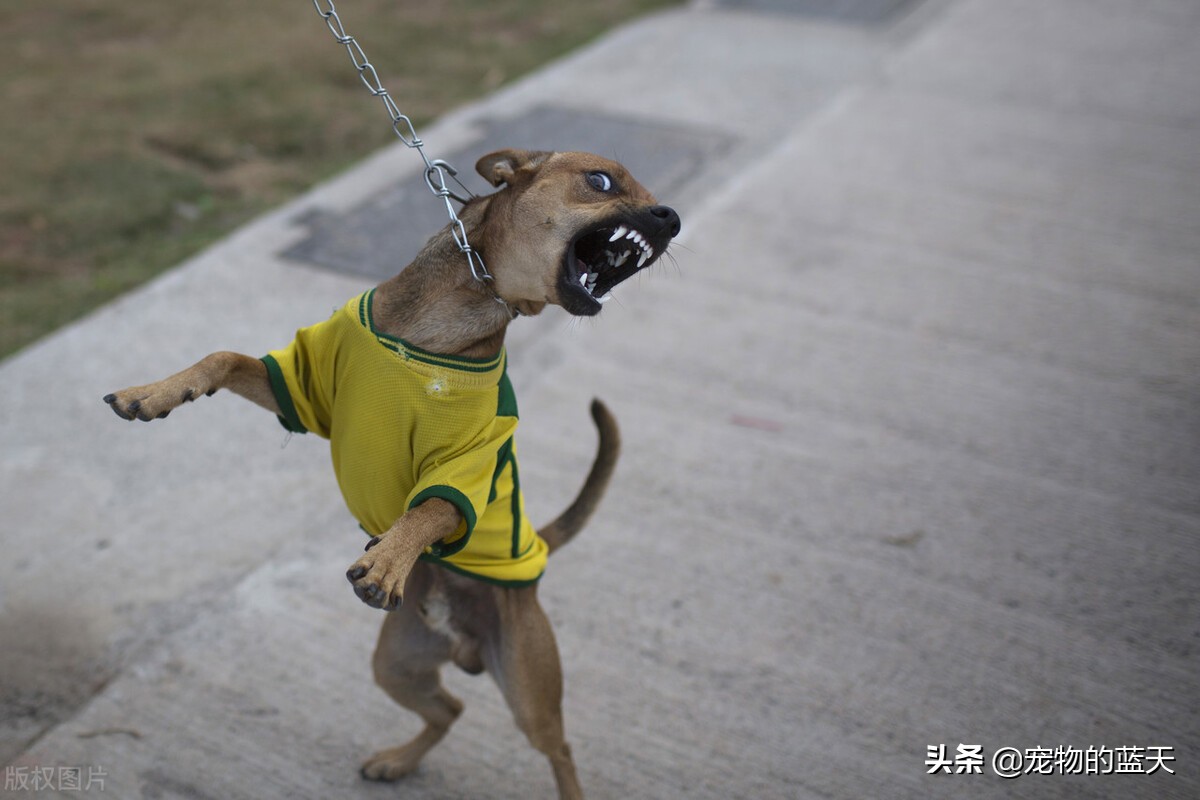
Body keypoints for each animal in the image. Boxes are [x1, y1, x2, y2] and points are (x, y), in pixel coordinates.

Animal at [103, 148, 681, 796]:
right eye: (601, 181)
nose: (673, 217)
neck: (439, 321)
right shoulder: (301, 391)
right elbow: (222, 356)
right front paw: (154, 393)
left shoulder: (465, 462)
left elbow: (431, 507)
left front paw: (390, 558)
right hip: (396, 666)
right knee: (450, 708)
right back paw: (398, 761)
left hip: (529, 689)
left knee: (559, 750)